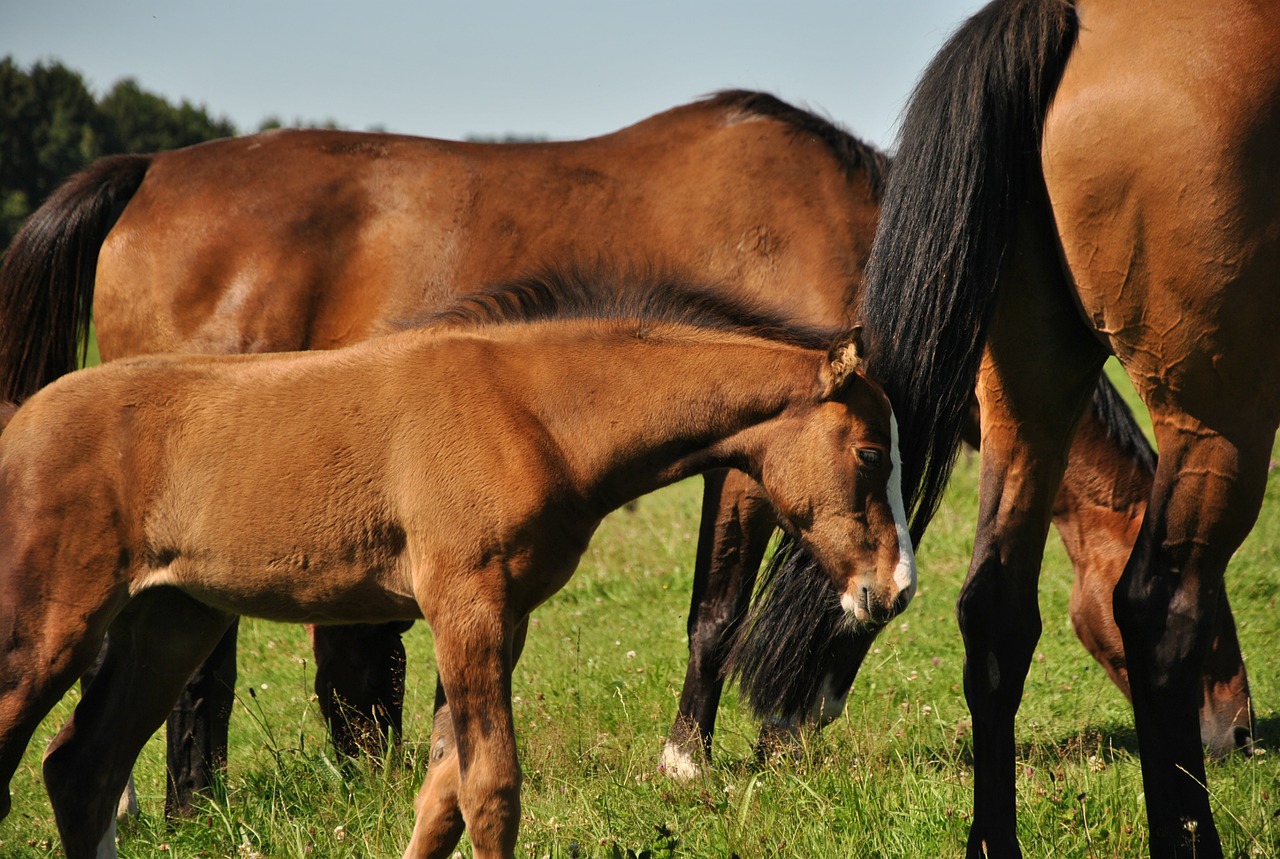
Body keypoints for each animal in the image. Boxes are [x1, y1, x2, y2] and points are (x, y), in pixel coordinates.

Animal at [0, 275, 916, 859]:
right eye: (872, 454)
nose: (896, 590)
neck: (533, 410)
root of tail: (18, 424)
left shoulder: (502, 619)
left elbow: (441, 796)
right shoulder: (464, 603)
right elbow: (491, 791)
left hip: (170, 622)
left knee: (80, 773)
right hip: (49, 627)